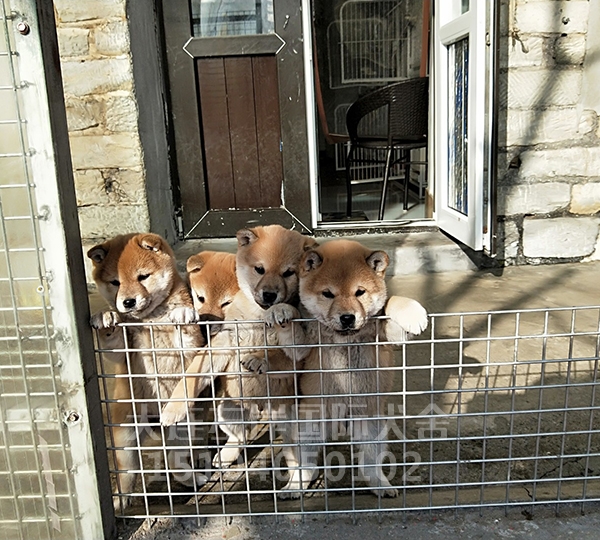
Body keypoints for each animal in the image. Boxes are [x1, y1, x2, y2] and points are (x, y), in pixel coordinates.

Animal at [86, 232, 209, 510]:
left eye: (143, 277)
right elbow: (113, 341)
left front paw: (182, 314)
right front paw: (106, 318)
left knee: (174, 462)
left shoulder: (191, 347)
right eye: (115, 282)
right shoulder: (124, 352)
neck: (151, 318)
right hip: (125, 437)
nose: (127, 301)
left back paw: (194, 479)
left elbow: (185, 330)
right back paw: (120, 502)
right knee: (127, 475)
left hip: (183, 427)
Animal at [162, 224, 316, 468]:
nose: (269, 295)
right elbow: (191, 376)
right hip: (229, 409)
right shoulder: (223, 342)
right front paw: (172, 409)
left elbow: (278, 354)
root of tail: (261, 408)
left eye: (288, 273)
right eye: (259, 269)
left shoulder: (300, 352)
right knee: (240, 435)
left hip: (292, 419)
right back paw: (226, 455)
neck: (258, 316)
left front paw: (278, 316)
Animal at [262, 239, 426, 498]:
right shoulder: (305, 345)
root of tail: (340, 424)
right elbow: (293, 334)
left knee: (368, 464)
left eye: (360, 292)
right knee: (306, 465)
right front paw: (282, 310)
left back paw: (381, 485)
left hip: (372, 427)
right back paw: (295, 486)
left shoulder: (387, 336)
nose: (348, 318)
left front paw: (412, 312)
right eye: (328, 294)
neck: (345, 338)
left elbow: (392, 301)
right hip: (309, 428)